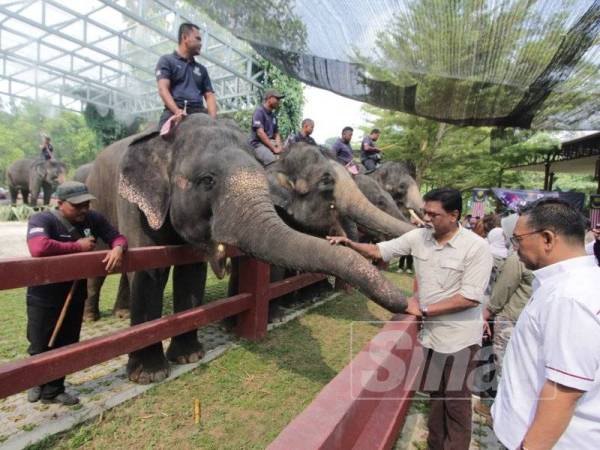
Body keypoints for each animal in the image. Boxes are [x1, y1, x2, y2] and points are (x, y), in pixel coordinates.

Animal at [86, 114, 410, 384]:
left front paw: (190, 356)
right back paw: (99, 317)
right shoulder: (134, 204)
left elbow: (192, 271)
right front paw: (150, 375)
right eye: (207, 180)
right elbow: (150, 271)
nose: (408, 306)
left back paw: (120, 312)